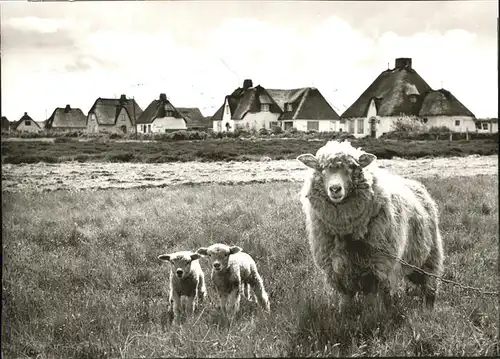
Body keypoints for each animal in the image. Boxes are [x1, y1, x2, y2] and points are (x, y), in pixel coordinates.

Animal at [294, 141, 444, 312]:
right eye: (321, 168)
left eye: (352, 166)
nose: (335, 189)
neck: (347, 231)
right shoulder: (338, 267)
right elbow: (346, 298)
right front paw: (344, 313)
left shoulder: (378, 267)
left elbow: (372, 299)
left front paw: (373, 314)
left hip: (429, 255)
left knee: (429, 284)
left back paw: (429, 308)